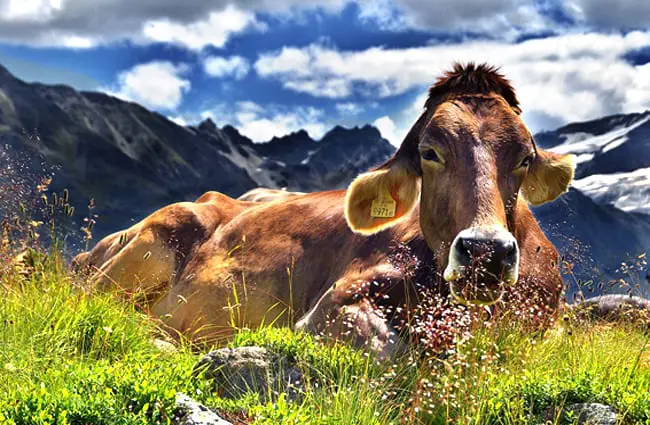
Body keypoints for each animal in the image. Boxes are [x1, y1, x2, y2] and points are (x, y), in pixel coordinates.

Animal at [73, 62, 576, 354]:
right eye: (430, 152)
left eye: (524, 157)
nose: (485, 252)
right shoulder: (331, 305)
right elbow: (382, 348)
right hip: (153, 239)